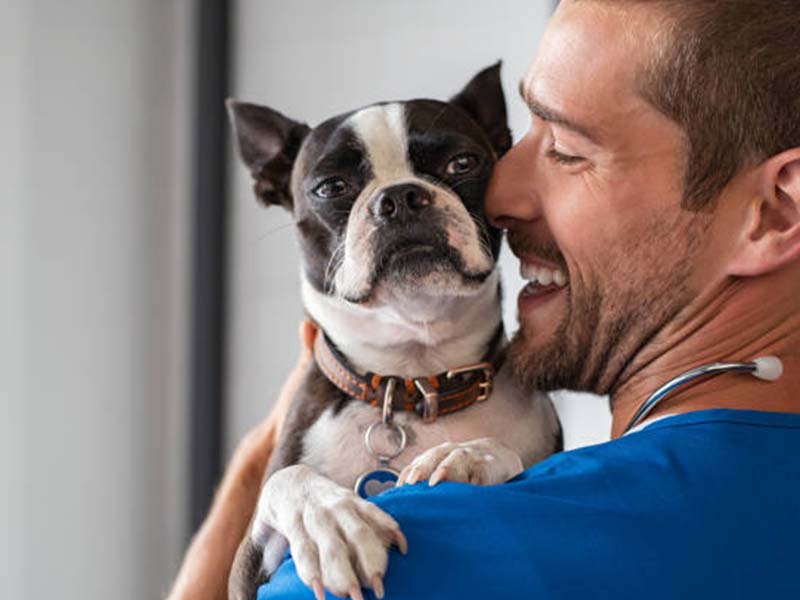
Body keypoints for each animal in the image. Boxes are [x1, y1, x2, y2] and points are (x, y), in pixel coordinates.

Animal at [225, 64, 564, 600]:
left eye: (462, 163)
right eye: (331, 187)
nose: (400, 197)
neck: (412, 378)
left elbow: (506, 453)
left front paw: (468, 456)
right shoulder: (245, 569)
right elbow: (288, 480)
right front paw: (332, 522)